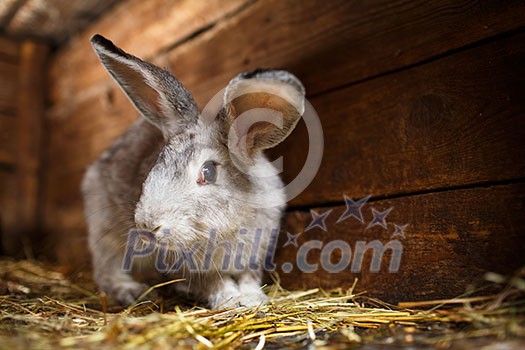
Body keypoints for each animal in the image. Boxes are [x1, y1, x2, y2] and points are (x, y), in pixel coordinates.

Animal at [80, 34, 304, 308]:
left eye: (208, 172)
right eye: (159, 161)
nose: (147, 225)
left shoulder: (254, 256)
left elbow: (249, 278)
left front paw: (253, 299)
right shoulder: (193, 269)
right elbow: (214, 282)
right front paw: (230, 300)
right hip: (105, 230)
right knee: (107, 270)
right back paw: (131, 290)